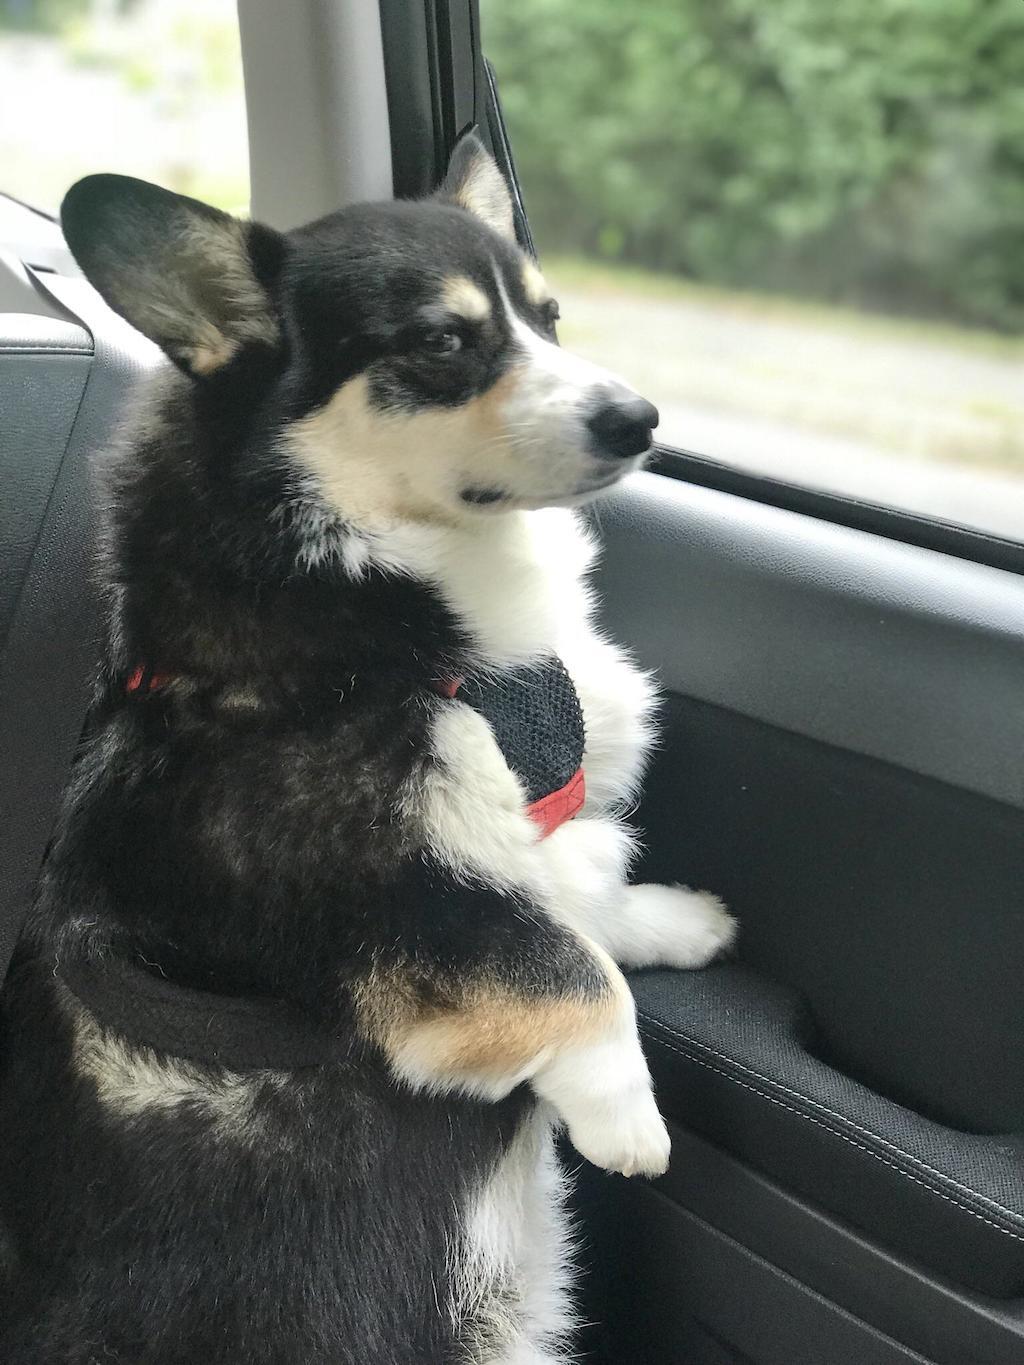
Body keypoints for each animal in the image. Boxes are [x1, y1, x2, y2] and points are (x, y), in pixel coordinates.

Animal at [0, 130, 737, 1365]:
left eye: (549, 317)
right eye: (442, 342)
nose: (639, 419)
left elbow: (585, 901)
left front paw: (681, 919)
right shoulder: (398, 900)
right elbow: (566, 967)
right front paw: (625, 1114)